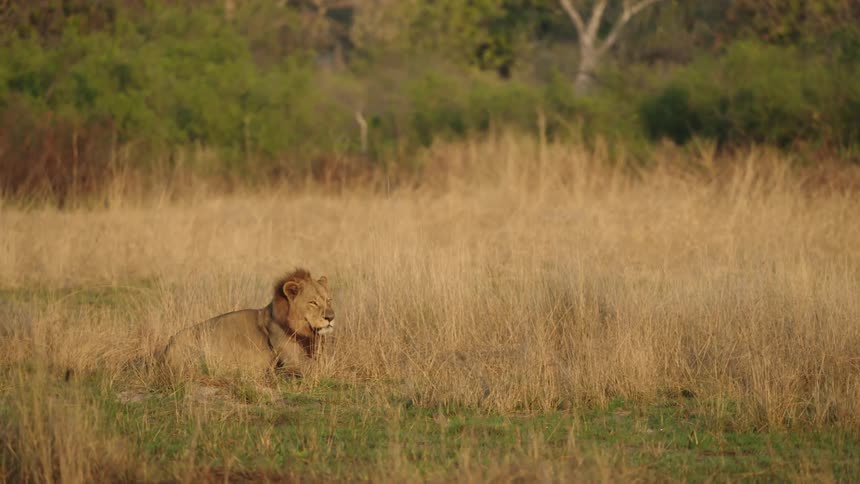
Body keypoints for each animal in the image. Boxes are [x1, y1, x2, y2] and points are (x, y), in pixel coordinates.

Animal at [160, 269, 335, 377]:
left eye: (328, 300)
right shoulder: (293, 362)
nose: (331, 317)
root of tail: (167, 348)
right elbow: (316, 368)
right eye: (313, 302)